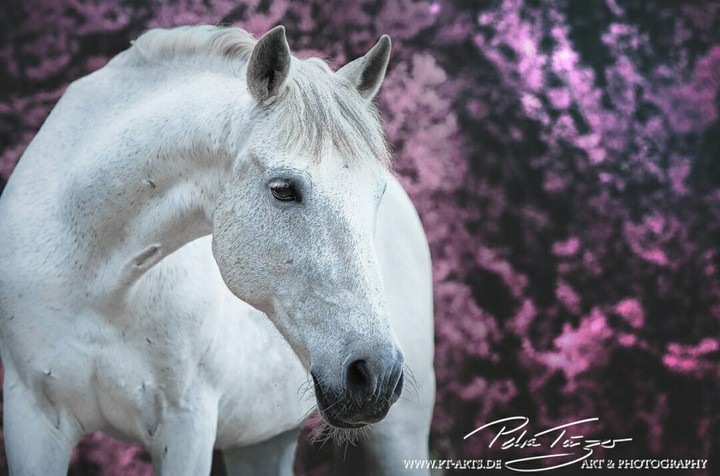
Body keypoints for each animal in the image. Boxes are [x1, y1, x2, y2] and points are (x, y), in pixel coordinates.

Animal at [0, 25, 434, 475]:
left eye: (377, 194)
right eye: (283, 189)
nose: (375, 374)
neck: (97, 286)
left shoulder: (186, 423)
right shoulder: (30, 418)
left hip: (400, 434)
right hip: (261, 441)